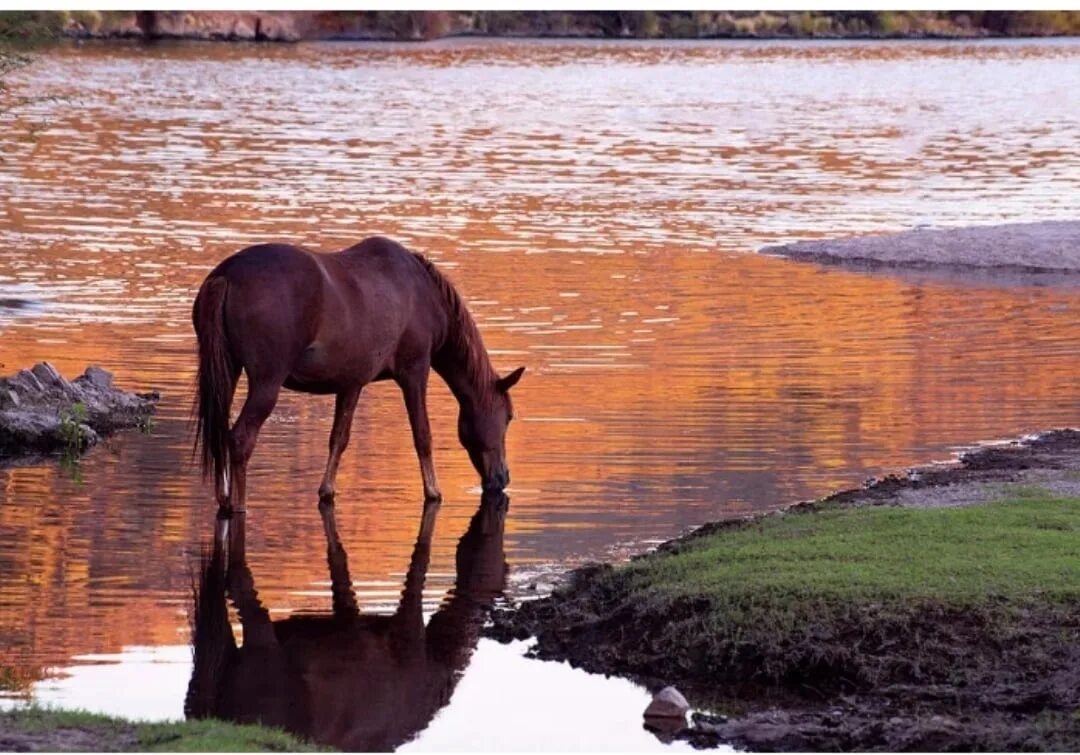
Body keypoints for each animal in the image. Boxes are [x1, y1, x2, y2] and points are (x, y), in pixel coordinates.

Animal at [192, 236, 524, 514]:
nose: (503, 476)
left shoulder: (351, 383)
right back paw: (238, 505)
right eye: (508, 416)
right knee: (240, 437)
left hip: (228, 372)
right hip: (266, 382)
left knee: (220, 431)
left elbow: (339, 438)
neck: (426, 295)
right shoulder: (415, 371)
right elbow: (422, 435)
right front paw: (433, 490)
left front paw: (327, 489)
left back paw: (224, 497)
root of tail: (226, 275)